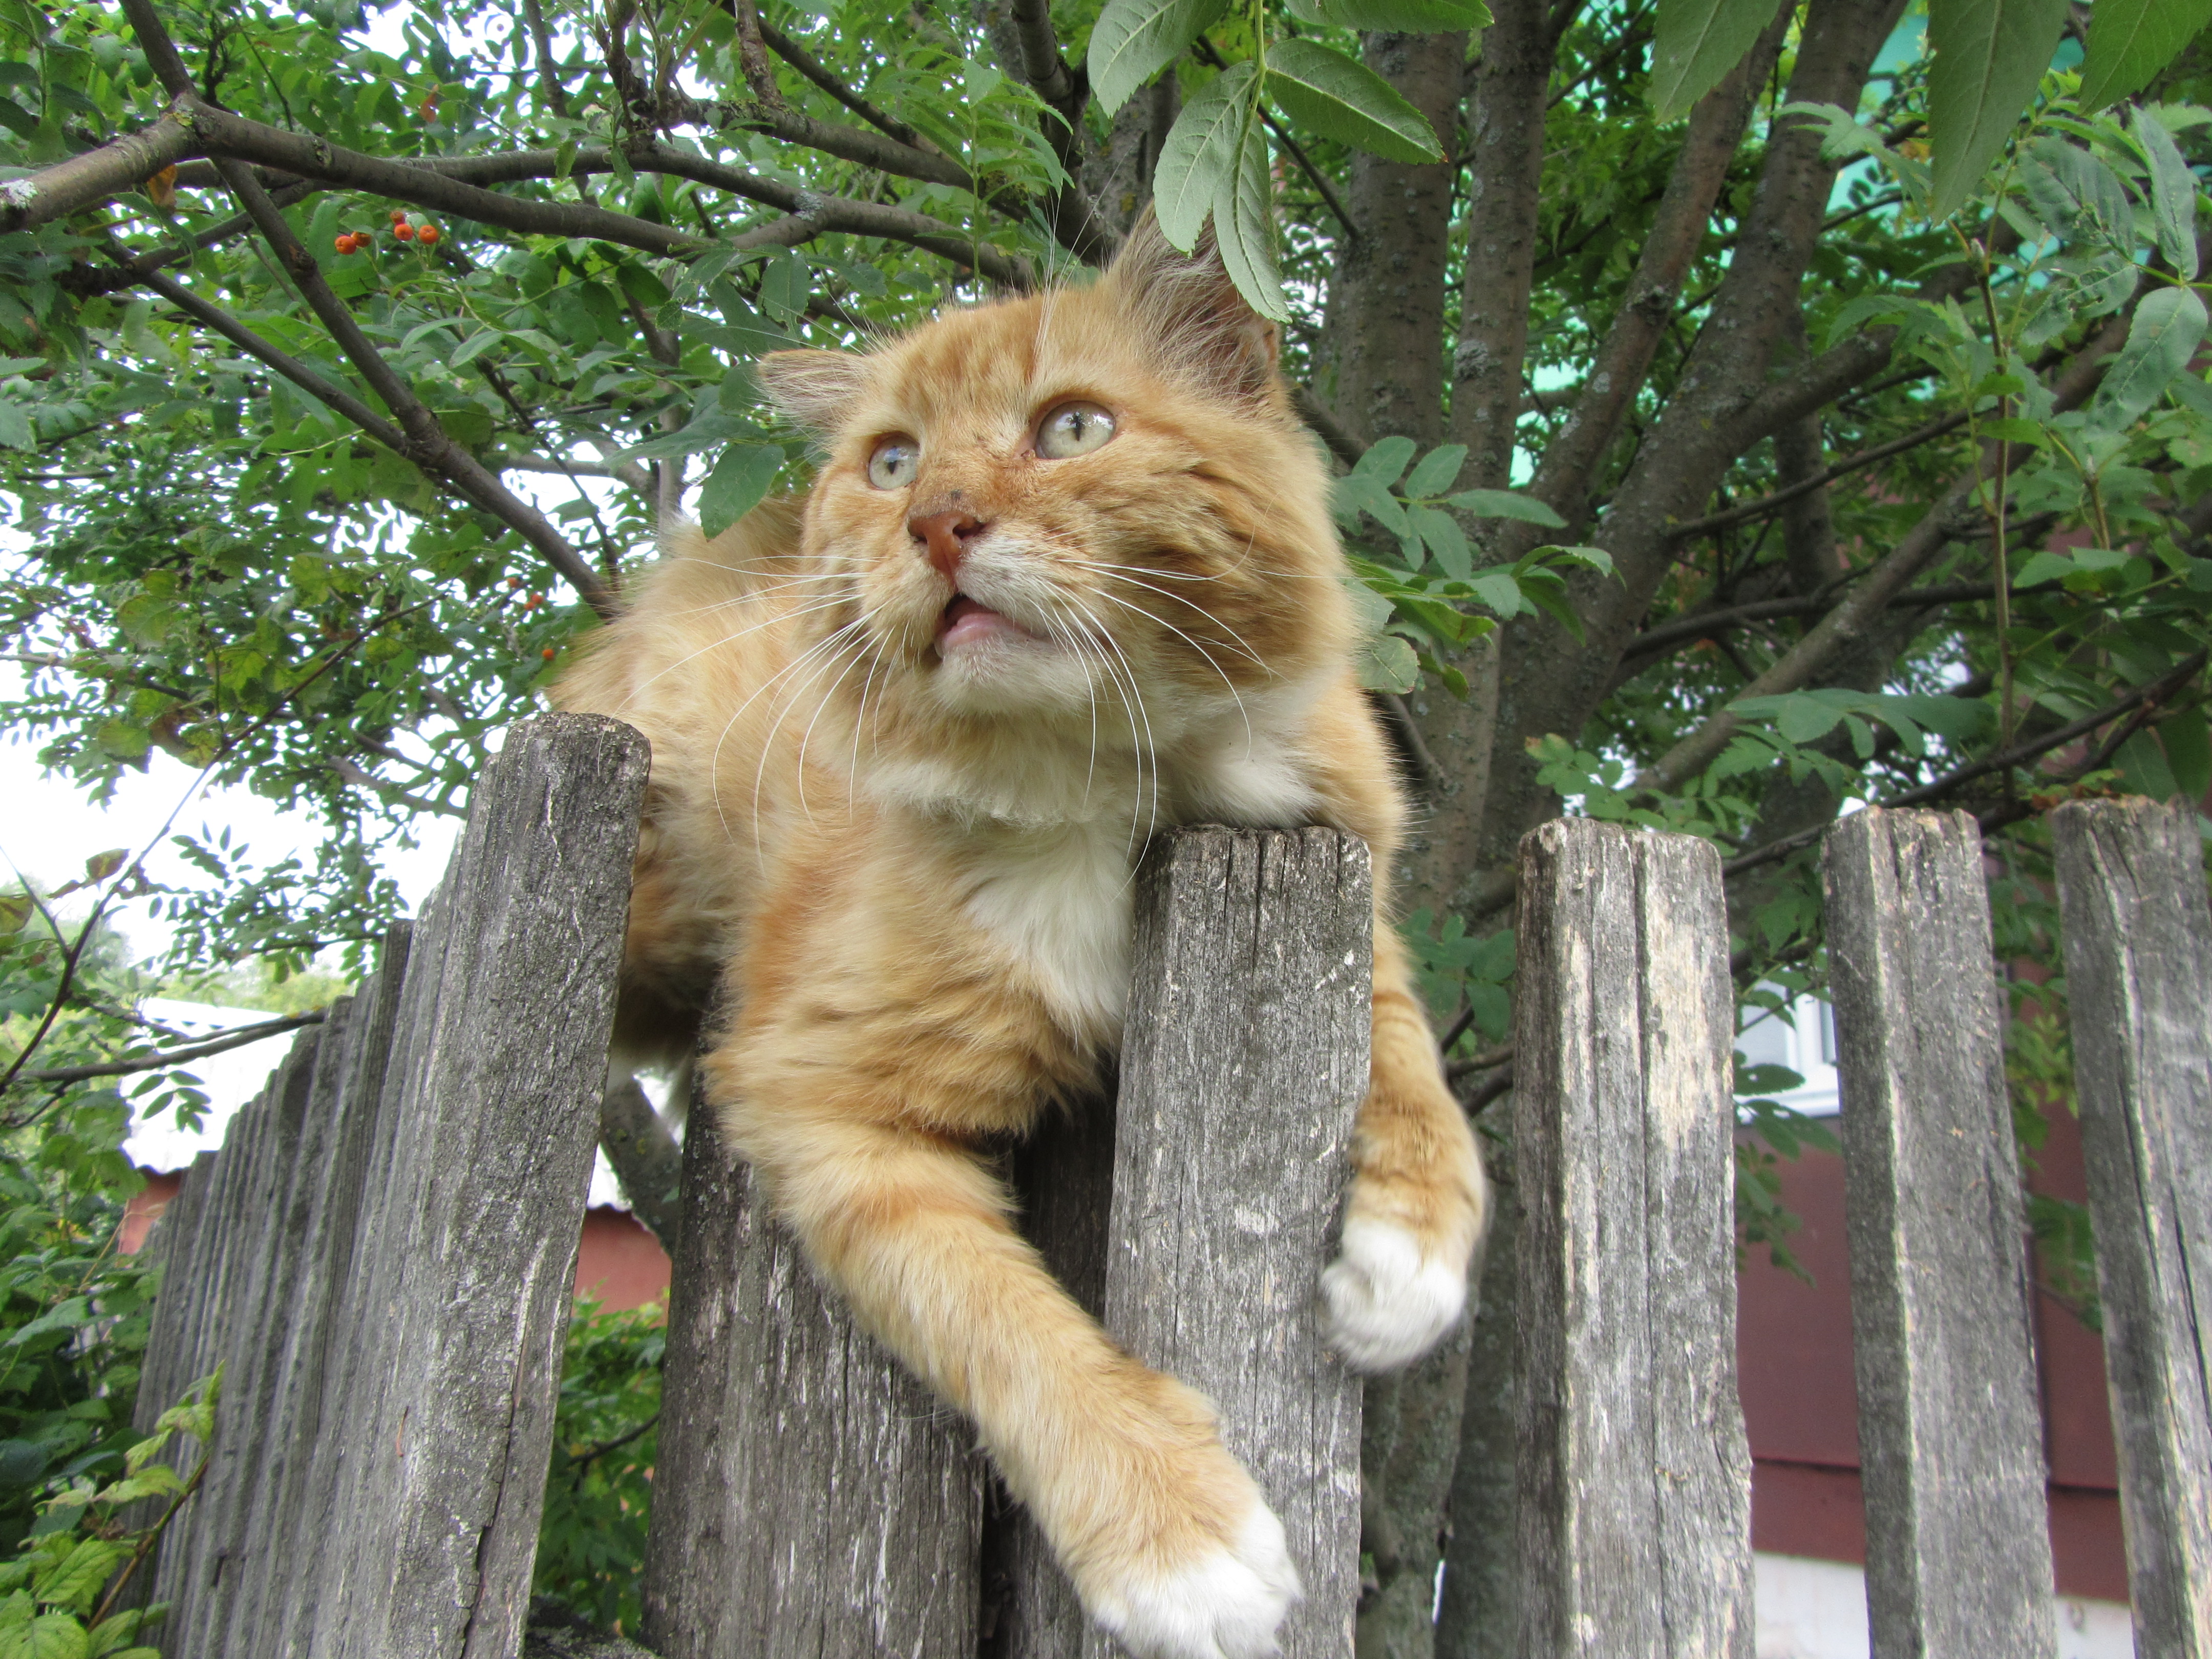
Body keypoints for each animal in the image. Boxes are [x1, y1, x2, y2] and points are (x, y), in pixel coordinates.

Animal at [553, 218, 1486, 1659]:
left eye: (1071, 428)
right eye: (891, 462)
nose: (937, 521)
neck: (1113, 795)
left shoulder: (1341, 881)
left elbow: (1413, 1060)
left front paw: (1410, 1259)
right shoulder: (820, 1103)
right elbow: (1006, 1322)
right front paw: (1175, 1532)